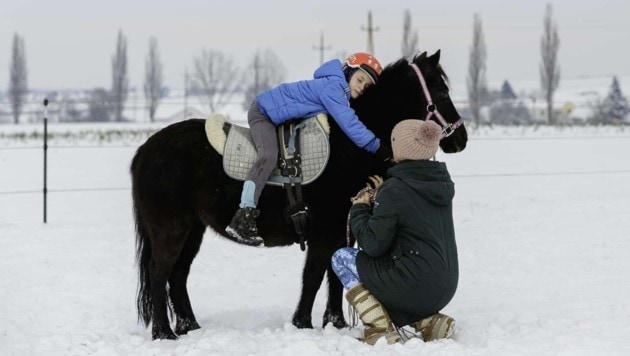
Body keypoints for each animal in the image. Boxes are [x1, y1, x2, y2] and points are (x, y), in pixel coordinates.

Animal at [131, 50, 466, 340]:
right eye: (441, 93)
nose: (460, 139)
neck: (347, 148)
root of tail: (144, 152)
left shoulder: (343, 231)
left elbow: (332, 277)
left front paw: (335, 322)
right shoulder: (324, 232)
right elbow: (314, 276)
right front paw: (303, 323)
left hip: (192, 230)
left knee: (178, 275)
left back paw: (189, 326)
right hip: (171, 229)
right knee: (159, 273)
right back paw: (164, 333)